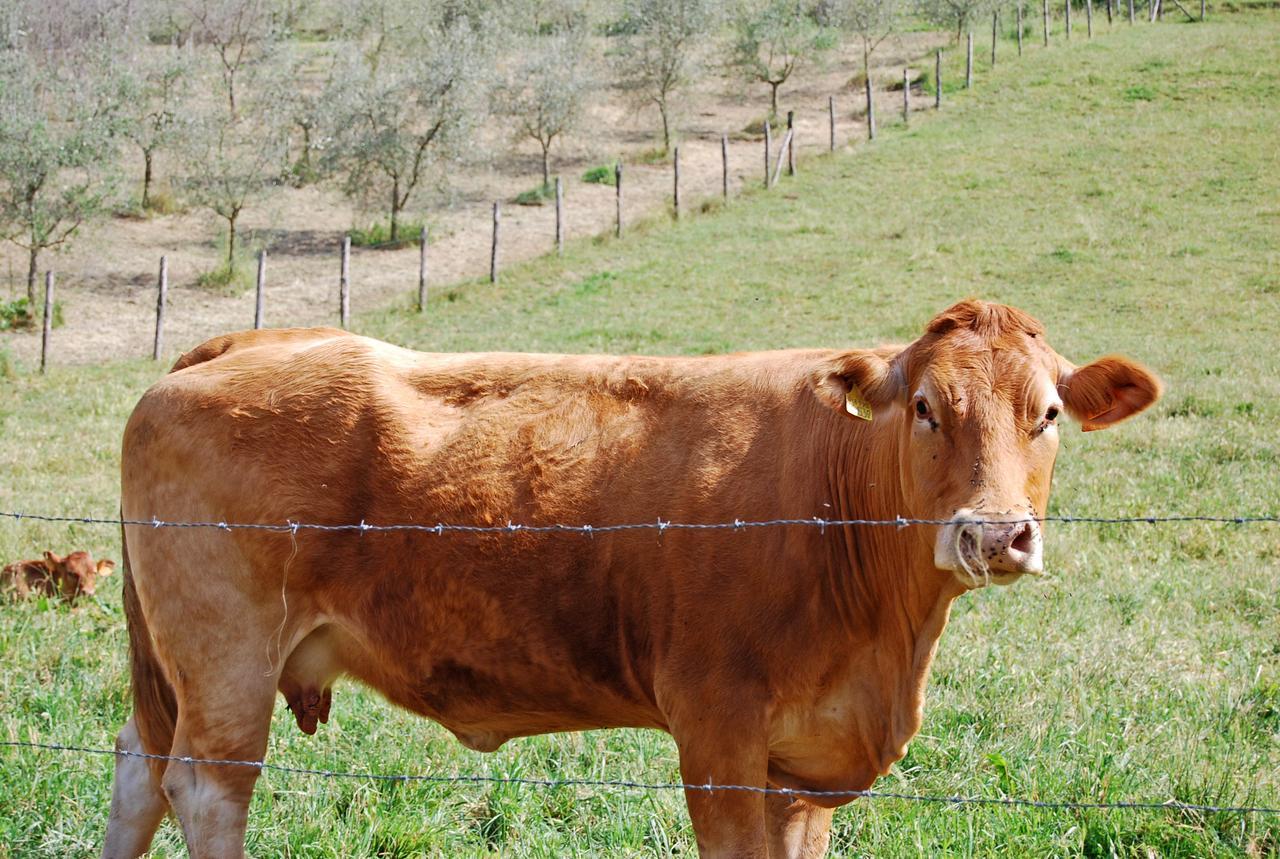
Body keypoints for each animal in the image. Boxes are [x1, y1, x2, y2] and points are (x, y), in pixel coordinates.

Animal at [99, 299, 1162, 855]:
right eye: (927, 409)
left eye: (1050, 412)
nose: (995, 533)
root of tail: (238, 344)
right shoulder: (716, 728)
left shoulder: (804, 770)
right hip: (227, 659)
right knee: (205, 786)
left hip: (178, 668)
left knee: (138, 767)